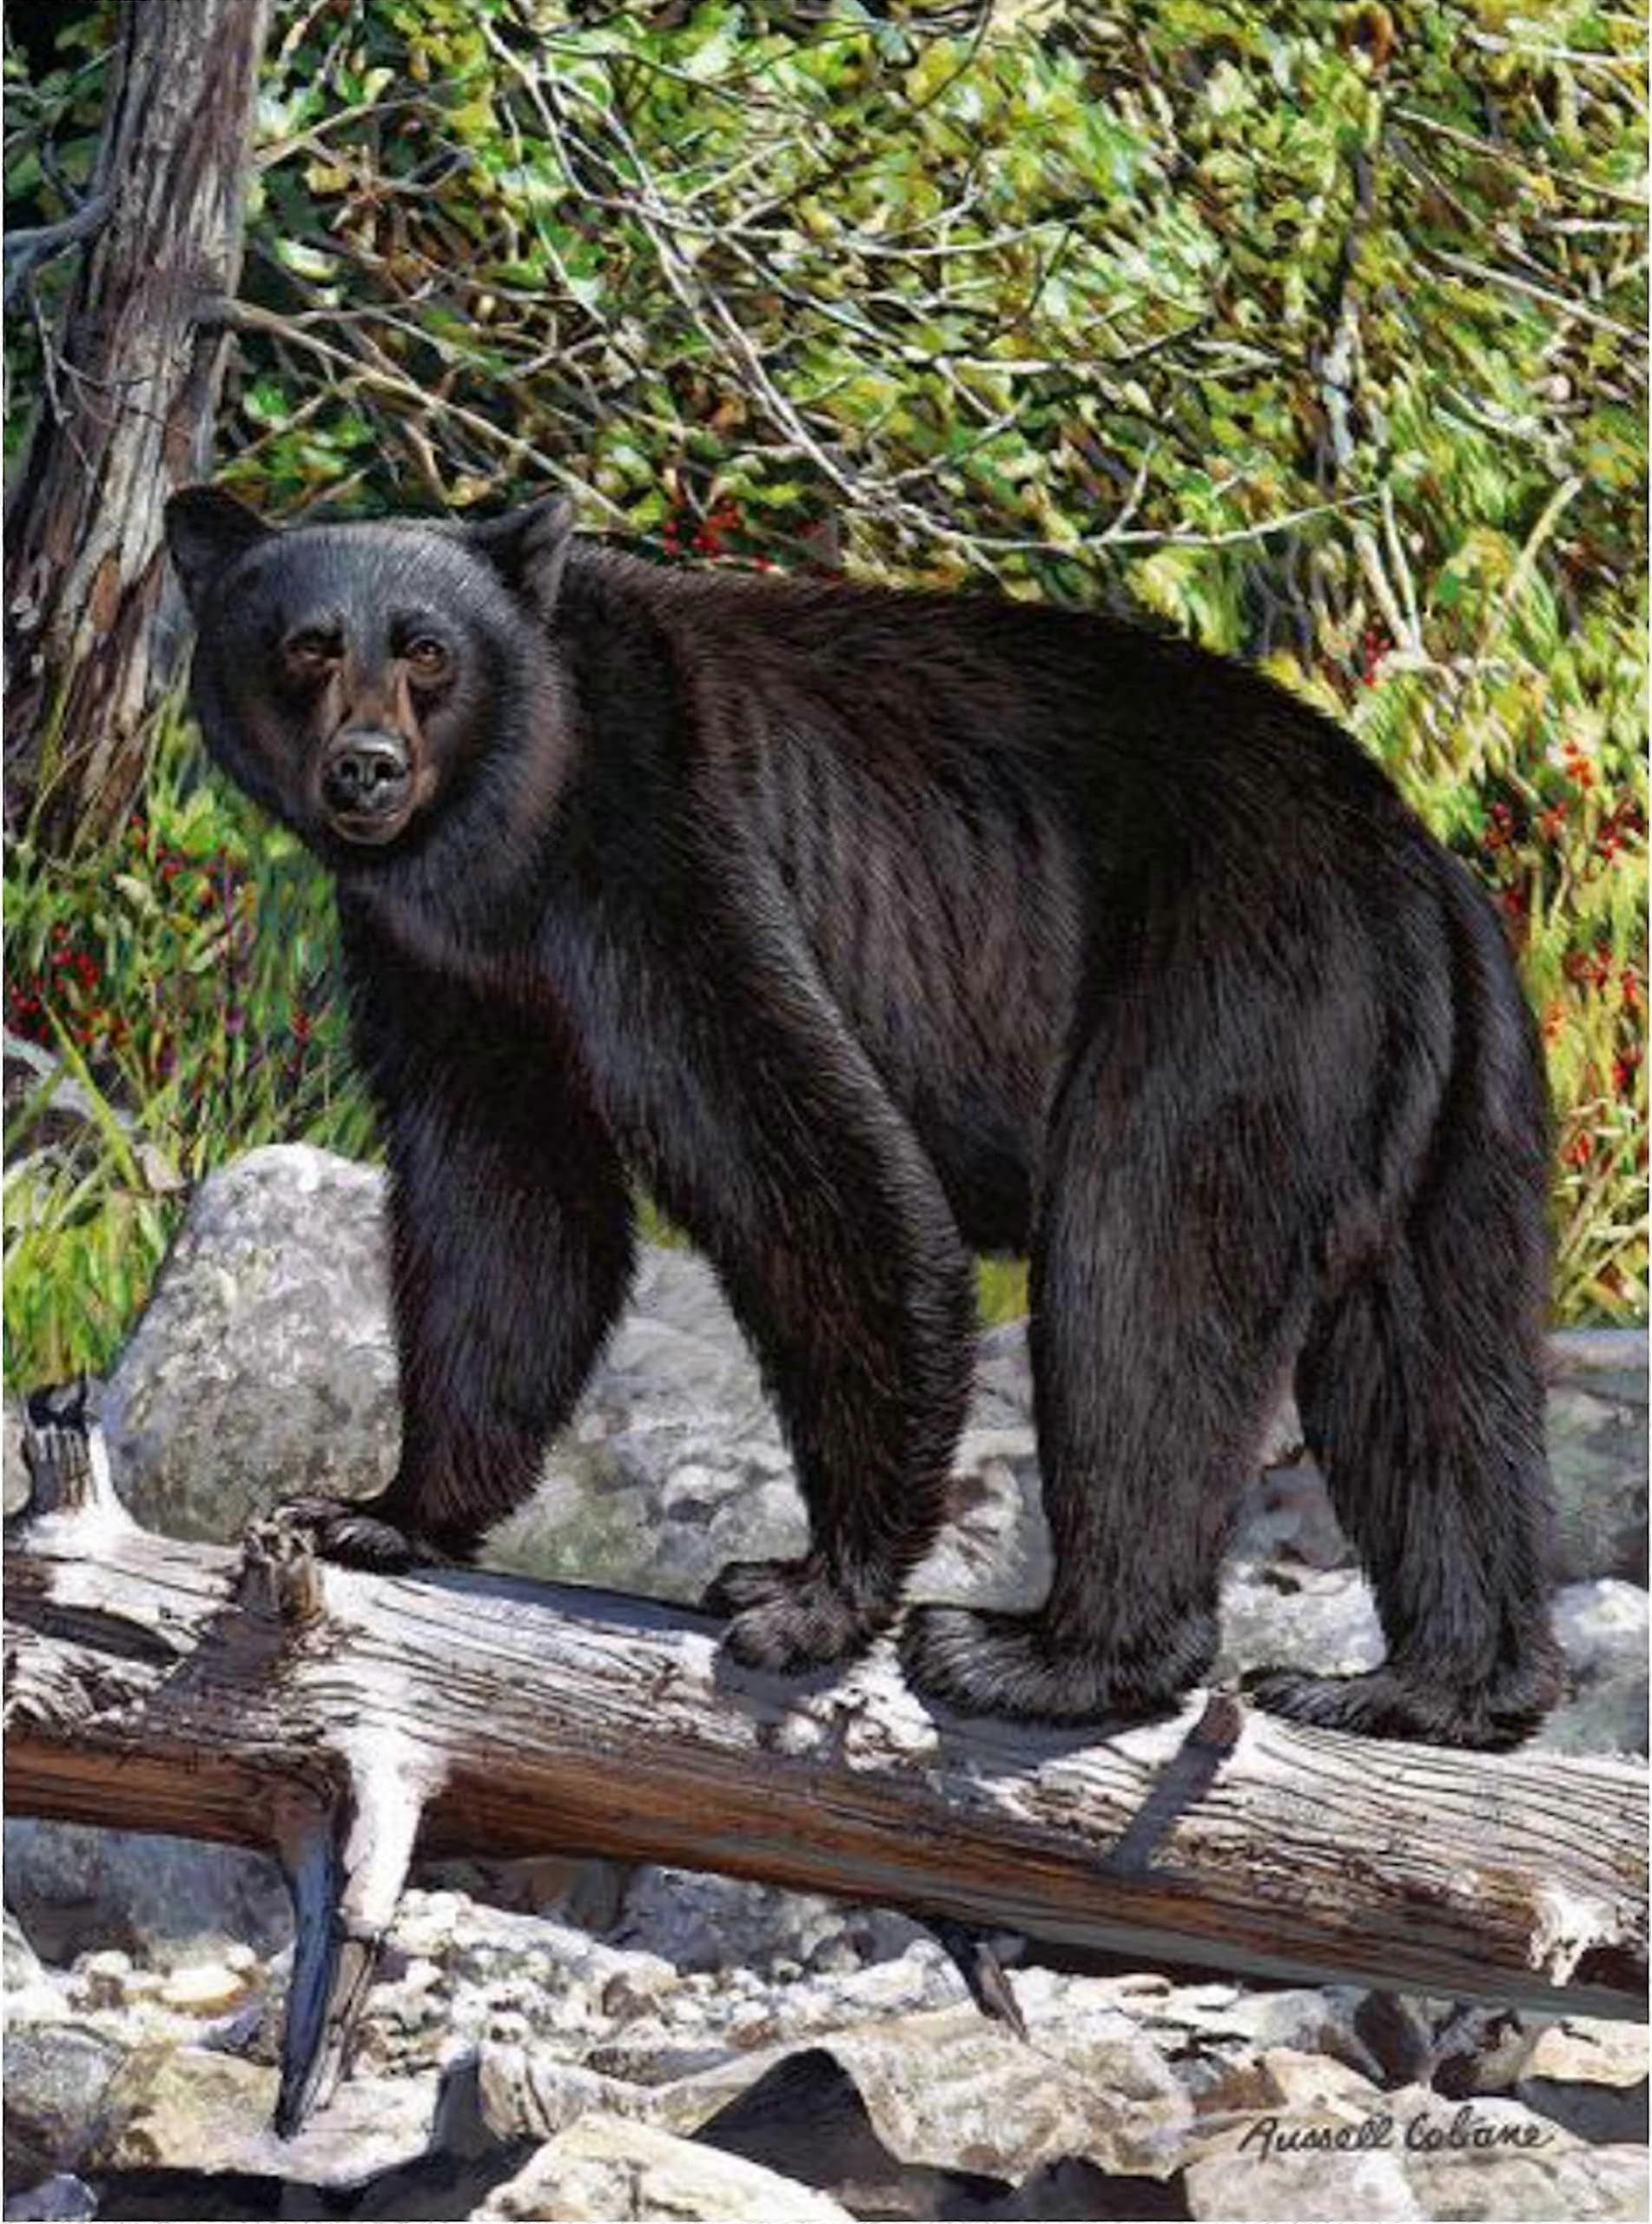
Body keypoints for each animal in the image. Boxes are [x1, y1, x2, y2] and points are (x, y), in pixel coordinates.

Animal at [164, 484, 1562, 1749]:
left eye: (428, 650)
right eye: (305, 645)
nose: (367, 769)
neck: (510, 834)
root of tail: (1410, 865)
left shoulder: (671, 854)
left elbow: (818, 1178)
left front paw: (812, 1597)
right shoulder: (450, 971)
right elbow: (502, 1205)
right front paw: (380, 1510)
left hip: (1233, 997)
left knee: (1145, 1285)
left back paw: (1044, 1655)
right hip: (1453, 1094)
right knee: (1435, 1368)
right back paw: (1428, 1690)